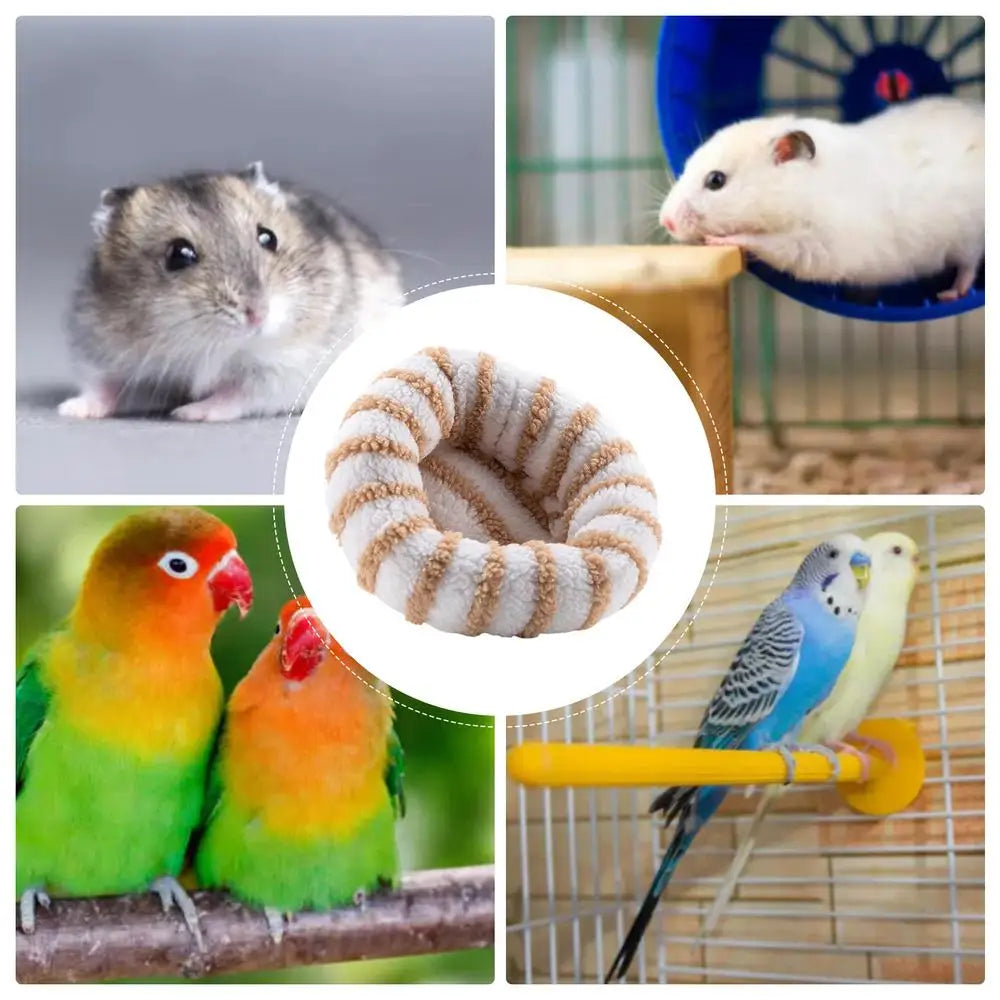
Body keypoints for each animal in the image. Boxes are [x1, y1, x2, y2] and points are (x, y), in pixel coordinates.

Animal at [59, 162, 403, 421]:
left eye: (268, 238)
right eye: (178, 255)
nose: (257, 314)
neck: (211, 346)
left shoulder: (287, 367)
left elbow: (237, 393)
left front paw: (188, 412)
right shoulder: (101, 349)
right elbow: (103, 386)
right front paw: (71, 409)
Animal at [660, 96, 984, 300]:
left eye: (716, 180)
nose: (666, 222)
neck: (803, 189)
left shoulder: (817, 245)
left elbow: (767, 243)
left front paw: (718, 240)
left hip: (967, 237)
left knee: (968, 266)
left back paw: (950, 294)